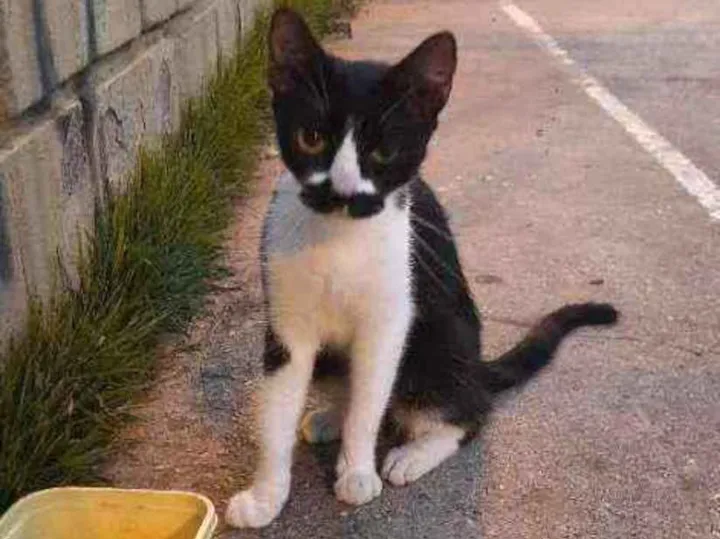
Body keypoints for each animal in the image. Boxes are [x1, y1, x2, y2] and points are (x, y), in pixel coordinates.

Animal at [225, 8, 619, 528]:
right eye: (311, 138)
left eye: (383, 152)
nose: (342, 192)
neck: (338, 237)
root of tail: (476, 368)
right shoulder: (287, 324)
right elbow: (277, 411)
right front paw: (265, 497)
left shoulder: (390, 319)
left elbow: (370, 403)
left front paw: (357, 473)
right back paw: (331, 416)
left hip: (439, 340)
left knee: (468, 411)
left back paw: (412, 452)